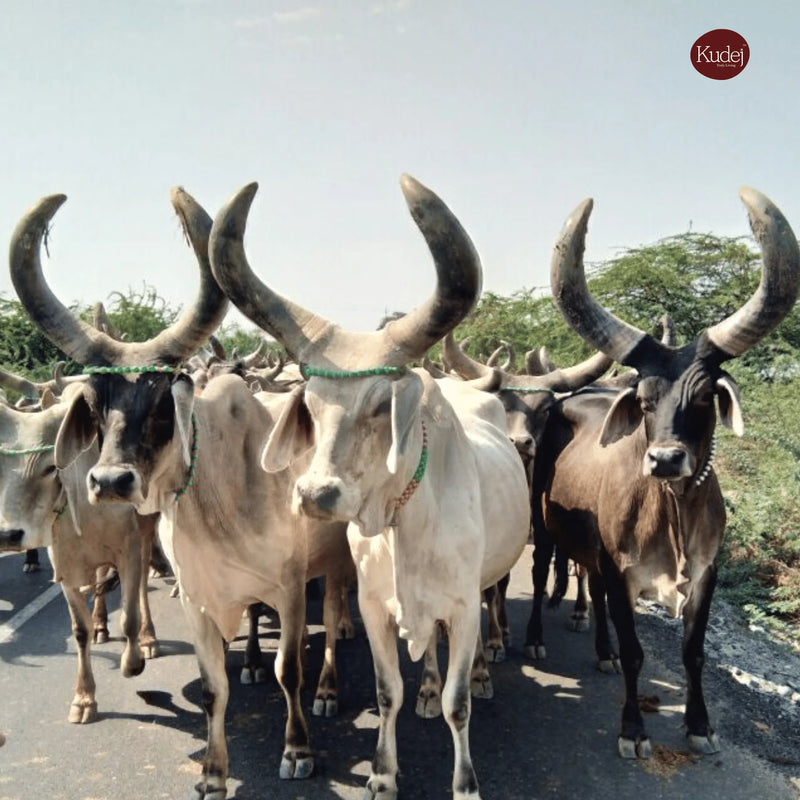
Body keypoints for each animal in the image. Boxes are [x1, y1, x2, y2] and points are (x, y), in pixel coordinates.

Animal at [10, 186, 358, 799]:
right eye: (94, 402)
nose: (110, 482)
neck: (220, 498)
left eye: (158, 399)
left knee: (334, 621)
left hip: (334, 564)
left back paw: (329, 687)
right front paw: (213, 772)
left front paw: (297, 749)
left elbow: (288, 670)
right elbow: (211, 683)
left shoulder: (290, 588)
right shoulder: (194, 595)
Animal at [208, 174, 531, 800]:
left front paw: (465, 782)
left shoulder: (462, 609)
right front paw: (383, 774)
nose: (315, 496)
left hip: (485, 587)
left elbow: (458, 705)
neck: (405, 519)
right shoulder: (374, 605)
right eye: (308, 403)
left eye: (383, 404)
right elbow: (387, 694)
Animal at [531, 187, 800, 759]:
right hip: (542, 526)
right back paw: (536, 638)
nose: (665, 460)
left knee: (590, 591)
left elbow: (693, 653)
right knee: (544, 571)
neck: (672, 510)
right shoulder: (620, 570)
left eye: (702, 396)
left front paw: (699, 724)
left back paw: (600, 646)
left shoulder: (705, 574)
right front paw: (633, 729)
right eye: (645, 399)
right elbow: (636, 653)